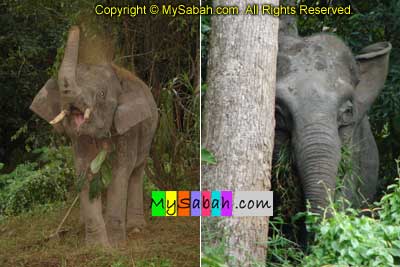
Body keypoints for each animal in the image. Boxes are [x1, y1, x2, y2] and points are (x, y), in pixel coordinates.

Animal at [30, 26, 158, 248]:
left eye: (101, 94)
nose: (76, 28)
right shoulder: (80, 139)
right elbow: (85, 171)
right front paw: (98, 247)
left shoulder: (129, 127)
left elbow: (121, 170)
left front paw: (115, 244)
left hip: (149, 133)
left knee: (136, 172)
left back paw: (136, 228)